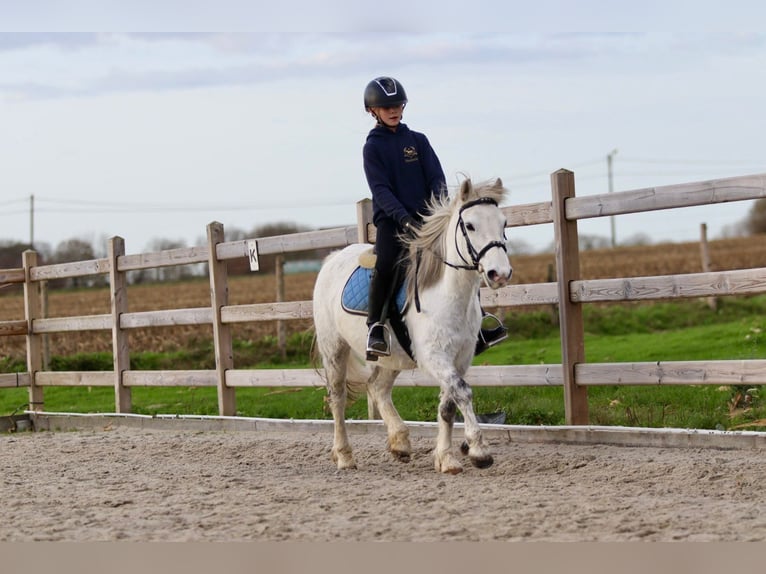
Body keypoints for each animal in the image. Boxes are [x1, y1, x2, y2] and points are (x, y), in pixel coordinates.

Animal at [316, 178, 512, 474]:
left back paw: (400, 443)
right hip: (334, 349)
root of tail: (333, 258)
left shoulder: (460, 358)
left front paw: (446, 459)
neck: (448, 294)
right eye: (470, 225)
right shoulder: (433, 356)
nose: (499, 274)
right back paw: (345, 456)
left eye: (503, 223)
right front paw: (479, 451)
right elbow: (463, 392)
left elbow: (448, 404)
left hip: (390, 357)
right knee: (337, 398)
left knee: (378, 388)